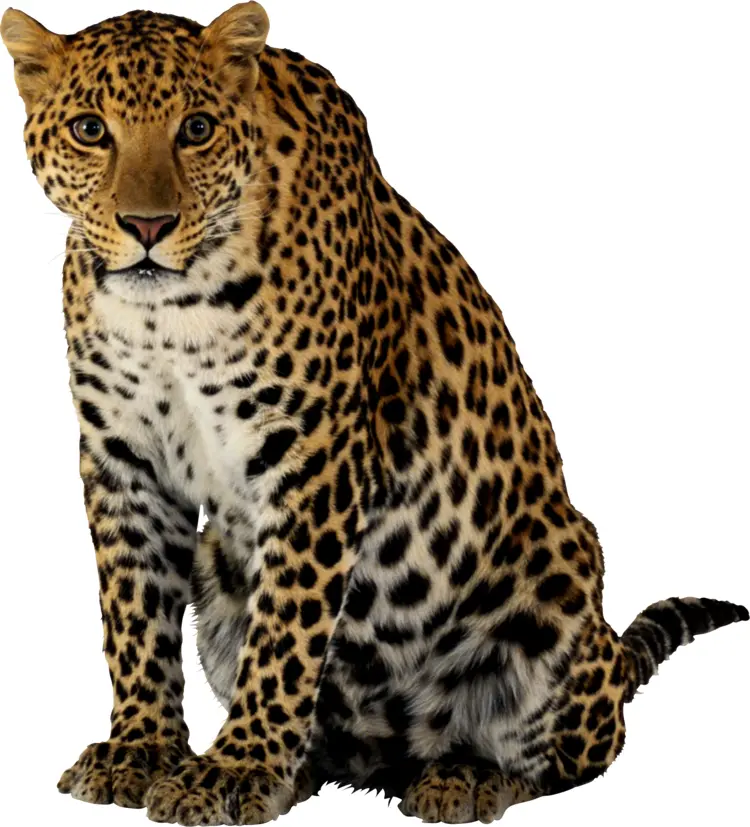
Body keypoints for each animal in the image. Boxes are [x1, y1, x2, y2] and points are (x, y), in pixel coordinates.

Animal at [2, 3, 747, 825]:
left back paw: (465, 775)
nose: (147, 226)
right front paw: (141, 748)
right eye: (90, 130)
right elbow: (133, 610)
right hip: (219, 574)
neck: (168, 312)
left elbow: (286, 630)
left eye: (196, 129)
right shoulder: (123, 457)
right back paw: (308, 767)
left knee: (577, 753)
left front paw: (234, 768)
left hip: (559, 576)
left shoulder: (313, 454)